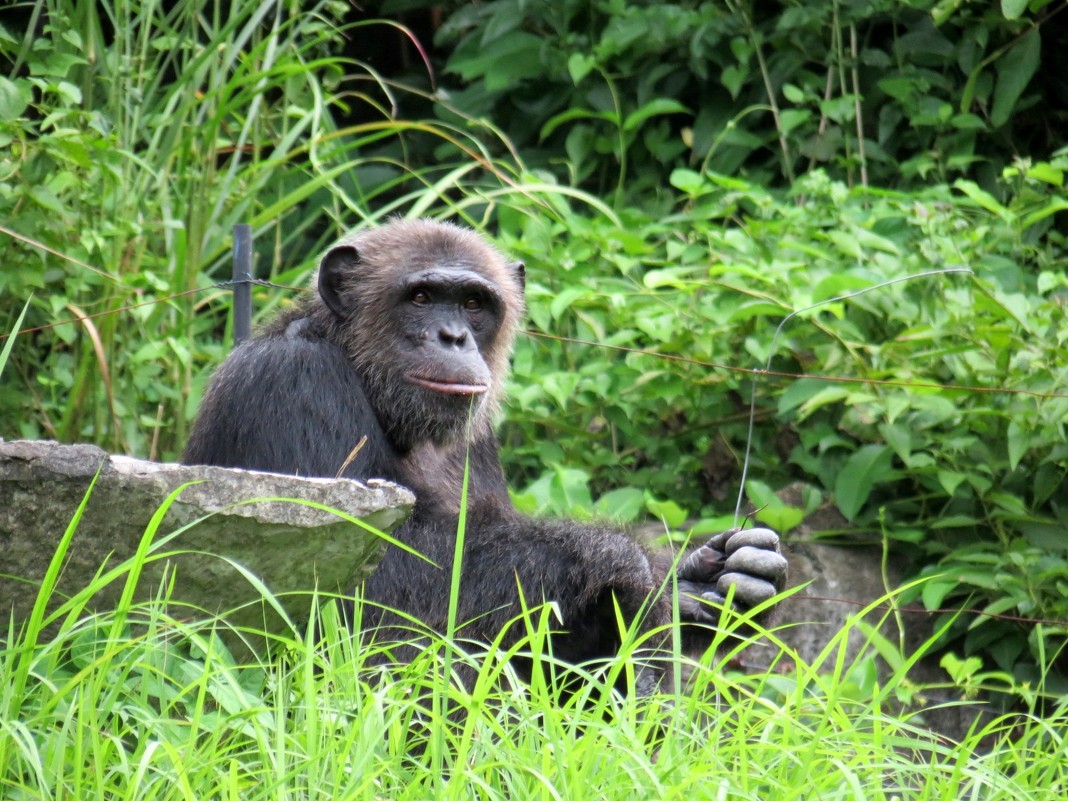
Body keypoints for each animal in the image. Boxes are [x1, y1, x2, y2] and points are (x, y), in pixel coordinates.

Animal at [181, 220, 786, 692]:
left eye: (474, 303)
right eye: (421, 297)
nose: (452, 336)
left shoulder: (480, 440)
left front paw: (711, 584)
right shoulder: (290, 381)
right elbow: (355, 583)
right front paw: (618, 559)